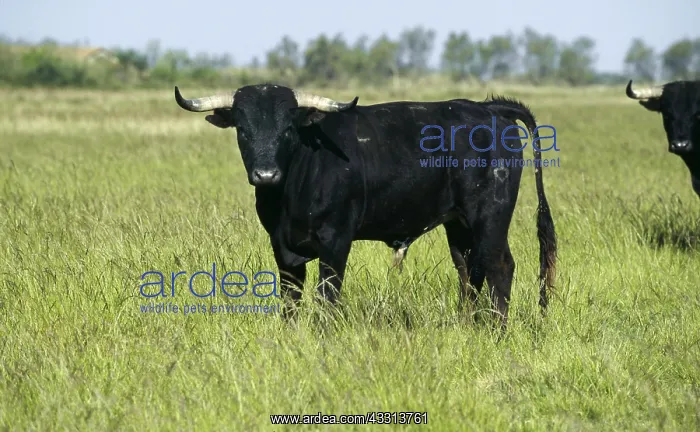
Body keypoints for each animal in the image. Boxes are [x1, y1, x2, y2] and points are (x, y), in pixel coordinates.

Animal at [173, 84, 558, 329]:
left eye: (288, 129)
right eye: (243, 129)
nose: (266, 174)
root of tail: (487, 108)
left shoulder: (335, 242)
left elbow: (327, 296)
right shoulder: (282, 248)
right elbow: (290, 299)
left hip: (489, 217)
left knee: (499, 267)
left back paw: (498, 331)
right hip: (458, 224)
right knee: (468, 272)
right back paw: (468, 327)